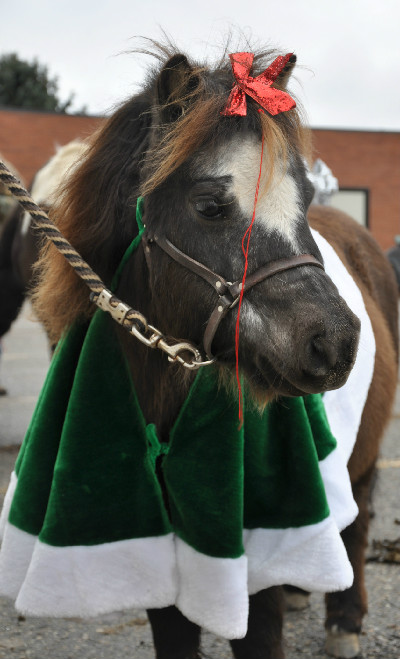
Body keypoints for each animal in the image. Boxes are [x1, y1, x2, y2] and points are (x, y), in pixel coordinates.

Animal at [6, 43, 400, 656]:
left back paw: (345, 621)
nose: (334, 341)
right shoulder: (151, 539)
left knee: (357, 522)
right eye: (210, 205)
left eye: (305, 198)